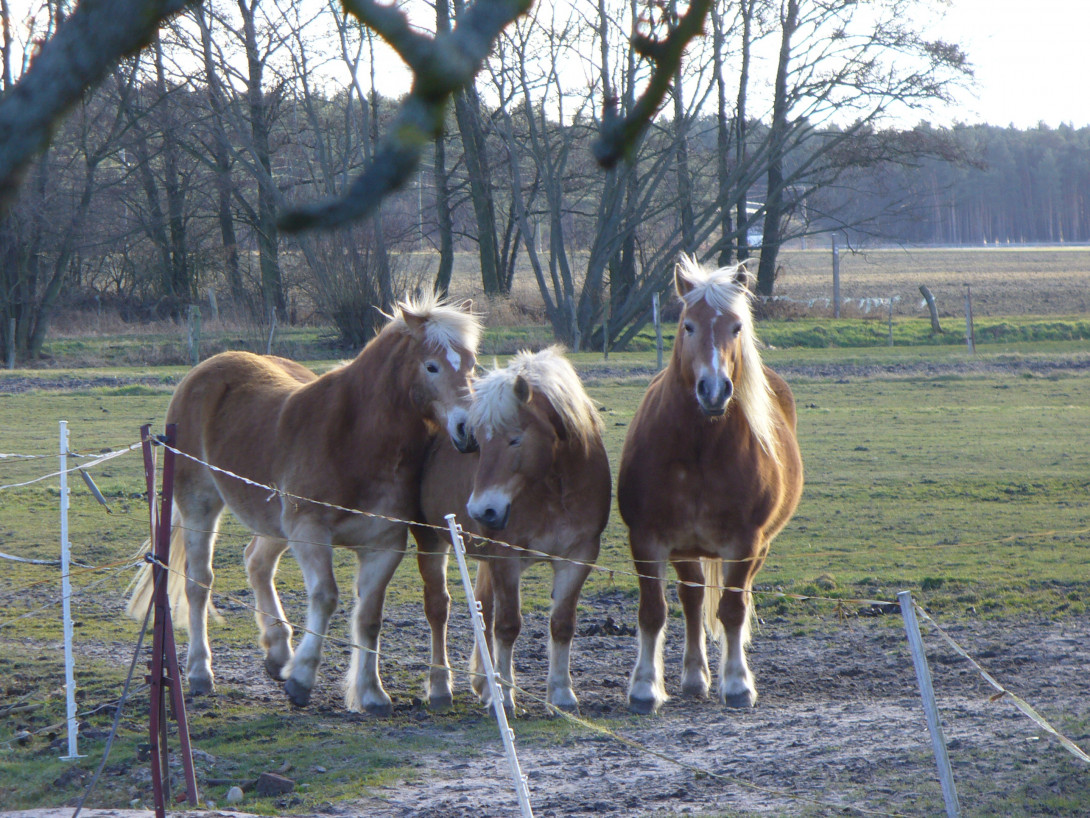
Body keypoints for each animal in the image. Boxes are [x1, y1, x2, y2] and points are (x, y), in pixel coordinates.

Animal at [127, 294, 480, 714]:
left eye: (472, 364)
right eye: (431, 365)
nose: (469, 431)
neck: (357, 437)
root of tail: (204, 370)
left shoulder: (384, 544)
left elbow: (370, 616)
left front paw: (372, 693)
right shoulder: (310, 531)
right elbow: (326, 597)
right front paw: (302, 679)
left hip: (274, 522)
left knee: (257, 563)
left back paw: (278, 650)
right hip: (201, 504)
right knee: (199, 583)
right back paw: (200, 672)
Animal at [412, 347, 611, 712]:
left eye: (515, 439)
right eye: (478, 442)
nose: (482, 510)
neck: (552, 488)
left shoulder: (578, 556)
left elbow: (562, 624)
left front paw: (561, 694)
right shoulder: (506, 558)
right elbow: (507, 626)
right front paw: (504, 697)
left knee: (483, 610)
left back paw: (483, 683)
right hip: (431, 541)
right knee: (438, 610)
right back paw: (441, 688)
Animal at [617, 256, 803, 713]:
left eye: (736, 327)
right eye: (688, 325)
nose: (714, 390)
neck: (701, 447)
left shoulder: (745, 542)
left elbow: (733, 610)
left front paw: (737, 684)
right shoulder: (647, 538)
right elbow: (653, 611)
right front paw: (644, 689)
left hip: (754, 548)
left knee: (726, 600)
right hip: (686, 548)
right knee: (692, 598)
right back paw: (693, 678)